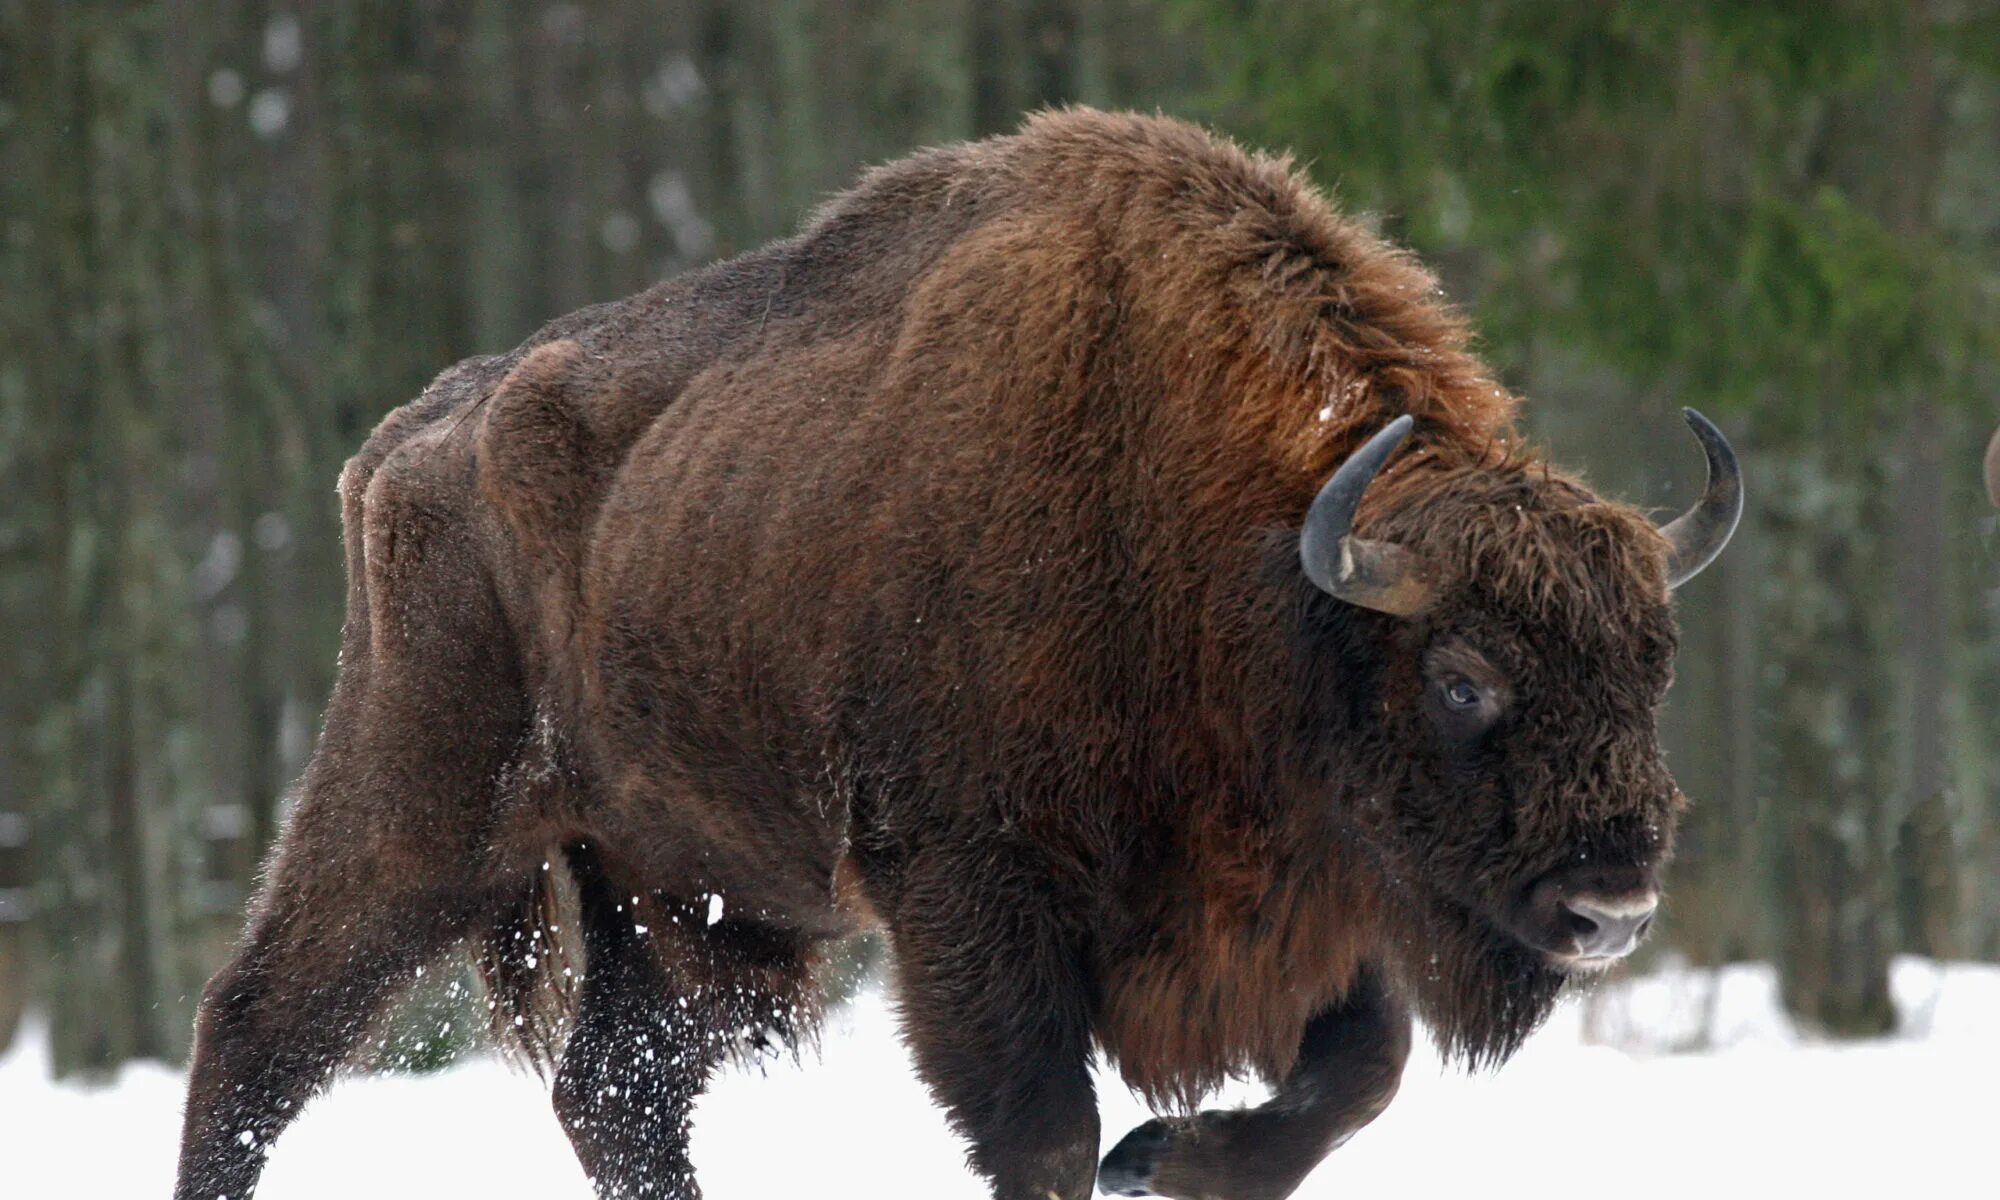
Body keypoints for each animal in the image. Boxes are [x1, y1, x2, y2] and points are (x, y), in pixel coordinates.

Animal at [172, 112, 1736, 1200]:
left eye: (1651, 666)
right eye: (1464, 678)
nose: (1610, 908)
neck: (1239, 556)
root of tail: (399, 443)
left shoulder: (1304, 893)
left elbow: (1359, 1074)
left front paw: (1166, 1161)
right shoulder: (966, 890)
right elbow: (1045, 1134)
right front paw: (1127, 1157)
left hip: (701, 895)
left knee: (613, 1096)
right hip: (424, 816)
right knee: (259, 1027)